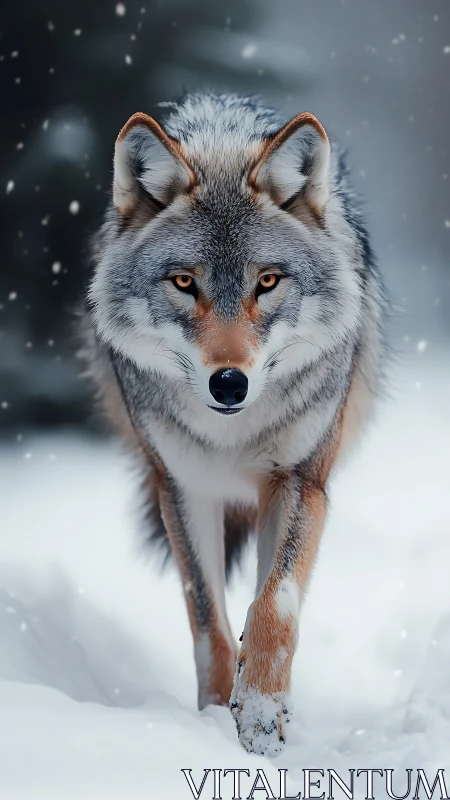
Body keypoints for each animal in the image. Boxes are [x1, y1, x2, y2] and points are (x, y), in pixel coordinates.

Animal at [83, 92, 386, 756]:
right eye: (184, 282)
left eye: (266, 281)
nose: (229, 383)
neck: (232, 432)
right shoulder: (184, 489)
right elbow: (208, 622)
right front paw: (215, 717)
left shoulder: (302, 481)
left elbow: (277, 604)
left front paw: (262, 716)